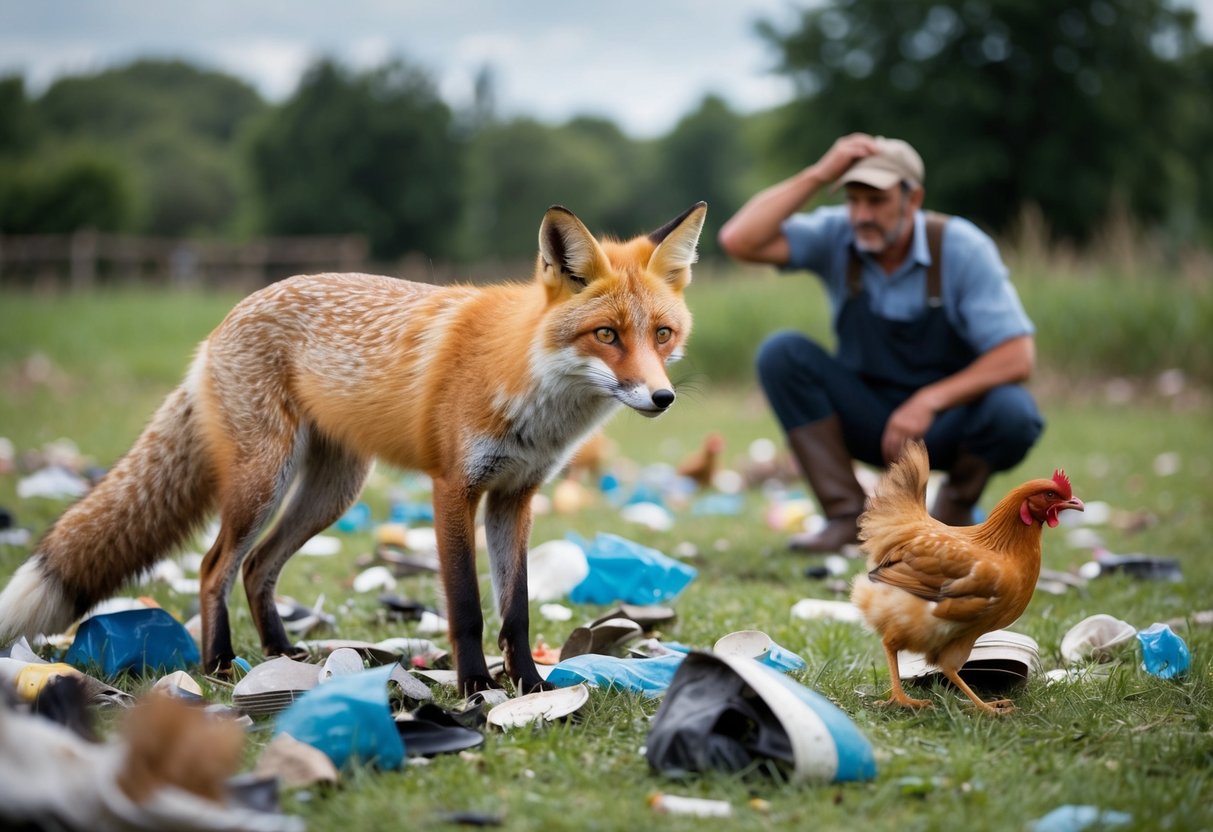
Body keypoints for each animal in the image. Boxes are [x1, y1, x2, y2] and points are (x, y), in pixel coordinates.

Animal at [0, 202, 707, 695]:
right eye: (607, 334)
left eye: (662, 334)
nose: (663, 397)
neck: (530, 384)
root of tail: (223, 321)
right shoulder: (453, 488)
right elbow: (468, 608)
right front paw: (476, 687)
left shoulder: (514, 497)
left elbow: (517, 611)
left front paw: (531, 686)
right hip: (265, 482)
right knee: (213, 566)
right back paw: (222, 665)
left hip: (331, 494)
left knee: (257, 568)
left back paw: (281, 656)